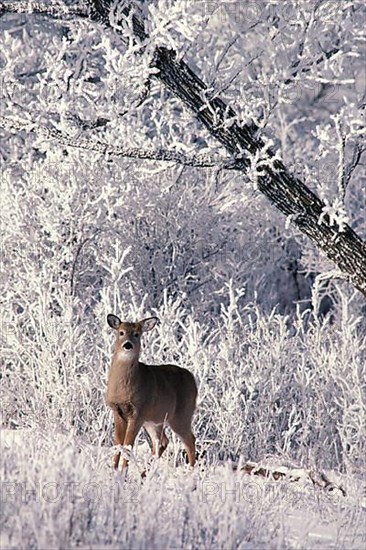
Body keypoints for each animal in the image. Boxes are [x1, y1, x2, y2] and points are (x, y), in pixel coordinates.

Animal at [106, 314, 197, 474]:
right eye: (121, 332)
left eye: (137, 334)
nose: (128, 345)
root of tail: (193, 380)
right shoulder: (117, 411)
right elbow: (118, 444)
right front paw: (114, 470)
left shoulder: (138, 412)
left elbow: (128, 446)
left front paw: (123, 473)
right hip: (154, 420)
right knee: (162, 441)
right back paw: (145, 472)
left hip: (181, 415)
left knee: (190, 440)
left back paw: (190, 472)